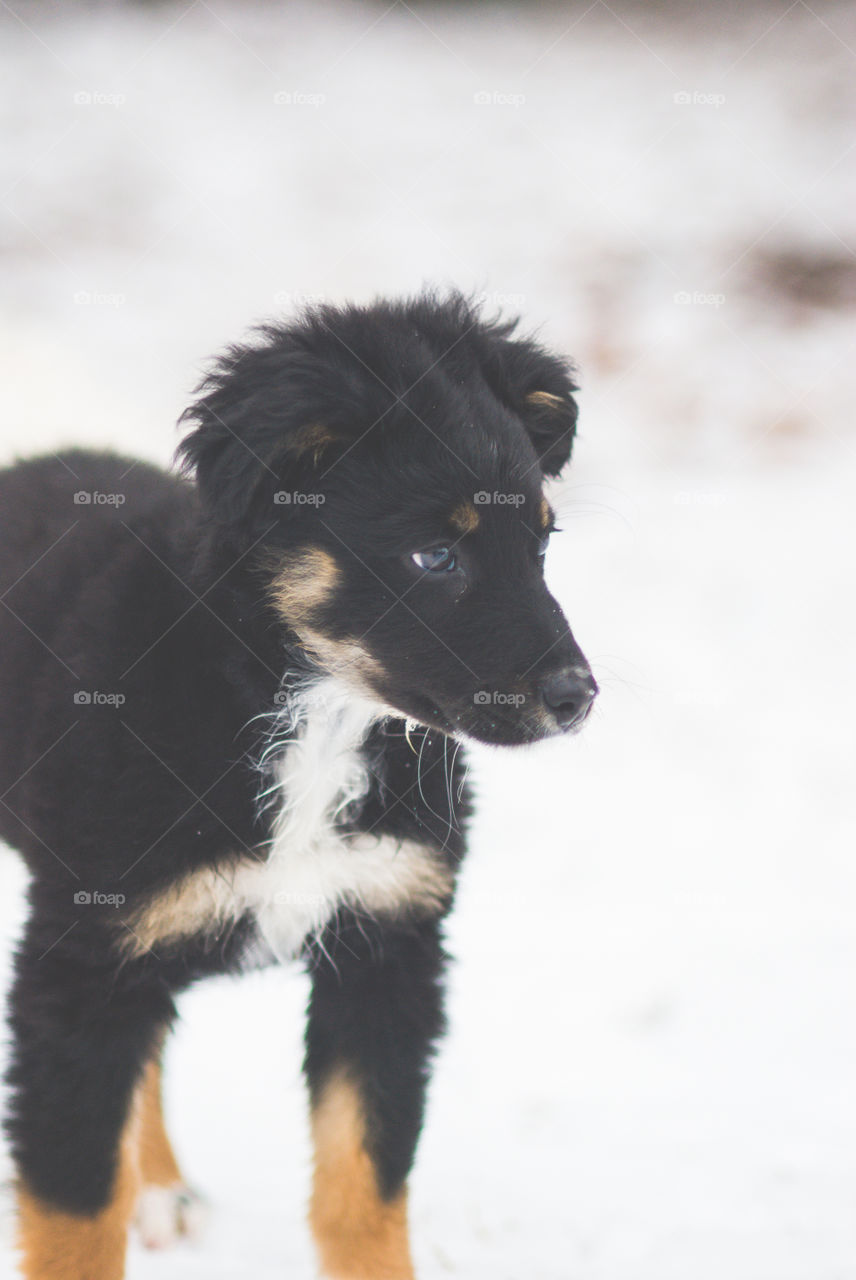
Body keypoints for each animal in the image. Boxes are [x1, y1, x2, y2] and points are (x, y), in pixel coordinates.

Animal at [0, 294, 593, 1274]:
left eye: (543, 540)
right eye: (436, 556)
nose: (578, 698)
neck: (313, 719)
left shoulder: (390, 950)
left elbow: (363, 1195)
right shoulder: (80, 968)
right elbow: (75, 1215)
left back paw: (161, 1186)